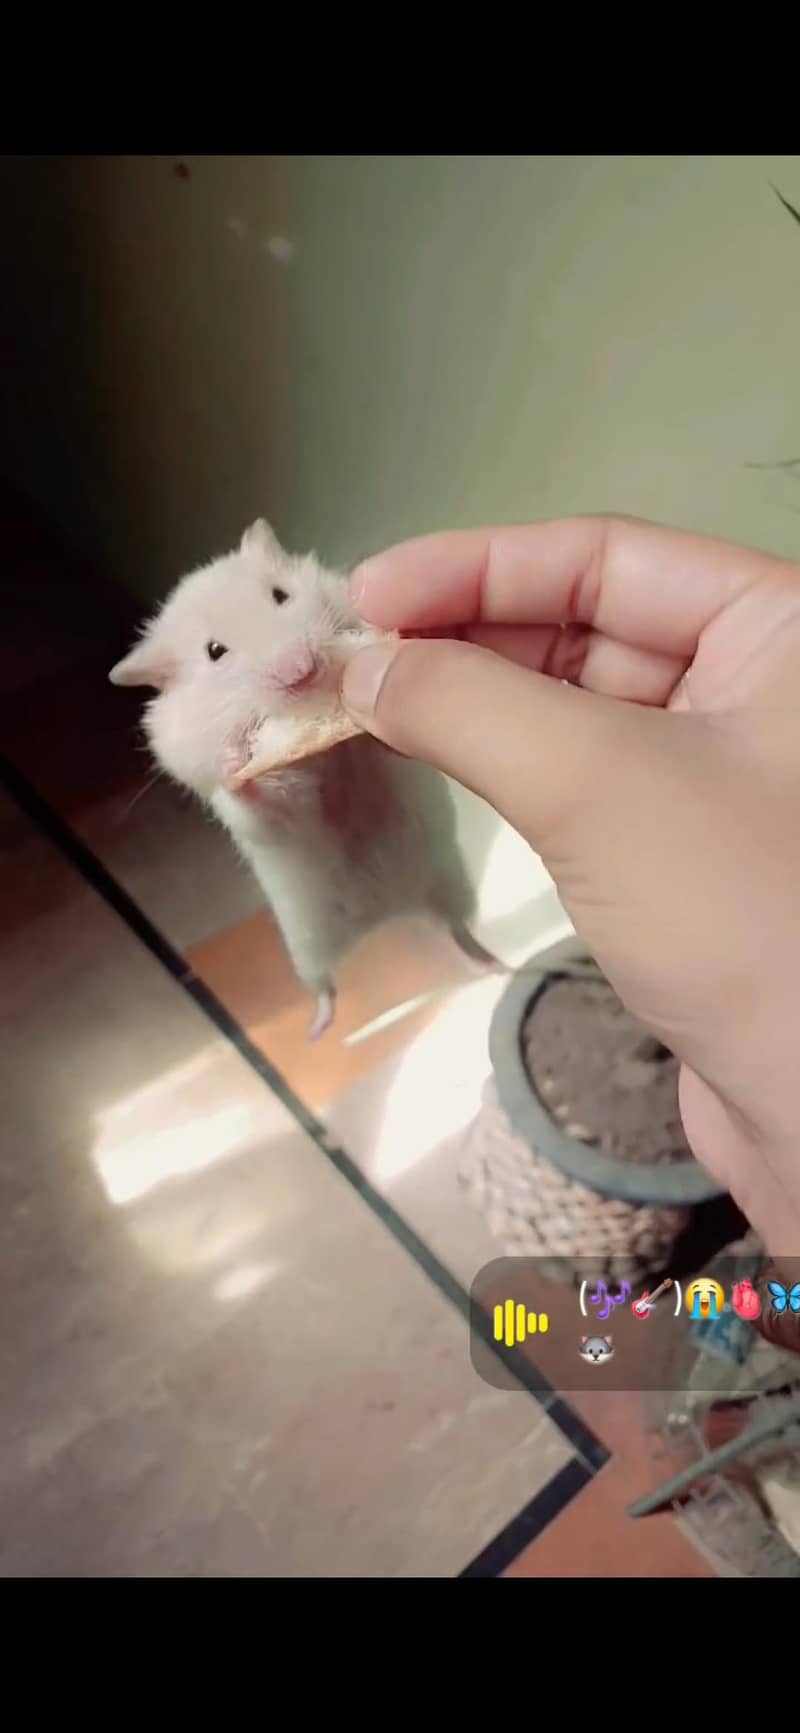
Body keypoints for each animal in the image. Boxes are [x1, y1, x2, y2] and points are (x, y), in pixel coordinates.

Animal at [109, 518, 490, 1039]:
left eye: (280, 595)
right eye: (214, 652)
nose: (300, 671)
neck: (329, 757)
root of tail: (387, 914)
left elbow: (383, 746)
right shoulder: (249, 801)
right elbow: (258, 801)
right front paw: (236, 766)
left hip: (452, 878)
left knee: (458, 927)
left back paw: (497, 963)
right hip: (305, 945)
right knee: (325, 987)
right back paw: (318, 1029)